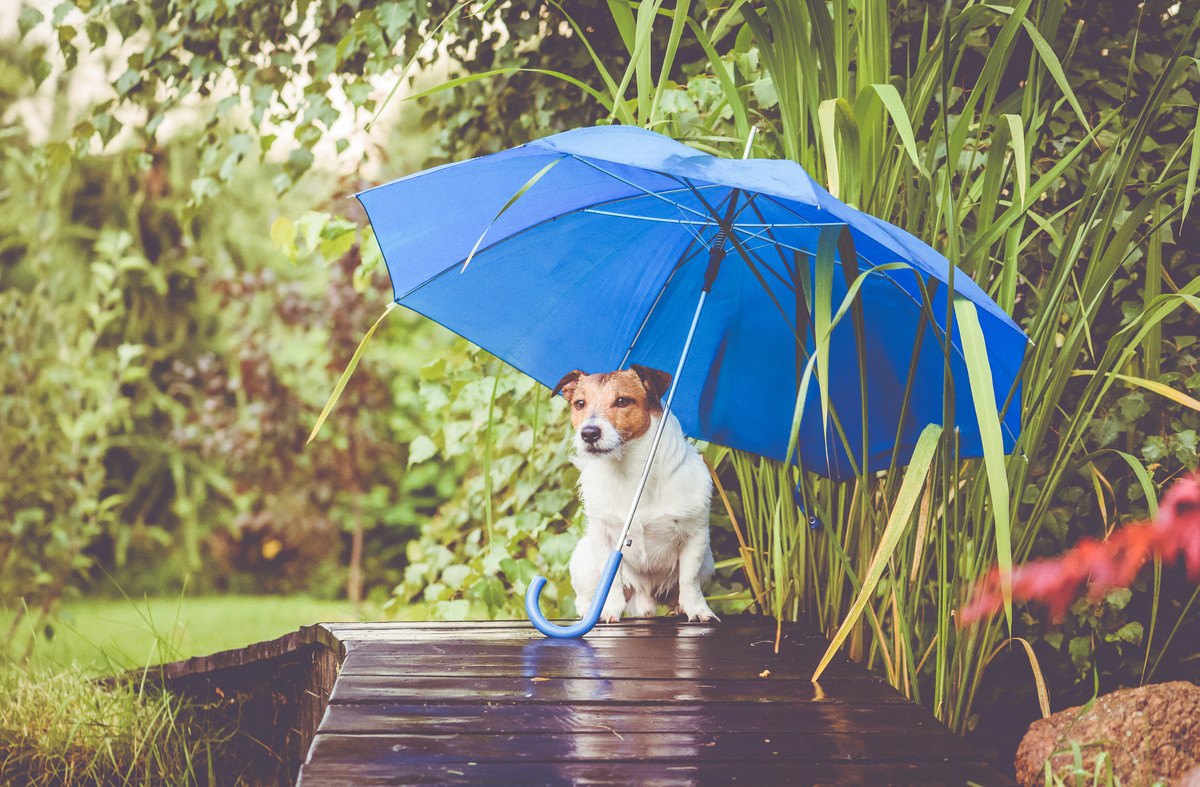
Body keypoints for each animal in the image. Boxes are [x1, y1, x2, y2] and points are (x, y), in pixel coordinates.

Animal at [549, 364, 710, 623]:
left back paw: (676, 606)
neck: (630, 474)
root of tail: (644, 593)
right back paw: (591, 609)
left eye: (622, 401)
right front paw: (609, 610)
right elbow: (612, 580)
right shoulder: (602, 537)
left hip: (708, 562)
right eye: (580, 403)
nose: (589, 433)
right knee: (585, 596)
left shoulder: (695, 537)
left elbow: (689, 580)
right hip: (584, 560)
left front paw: (697, 610)